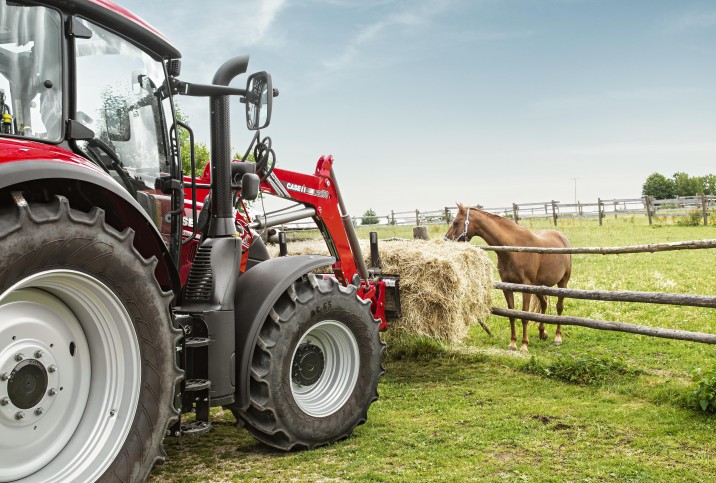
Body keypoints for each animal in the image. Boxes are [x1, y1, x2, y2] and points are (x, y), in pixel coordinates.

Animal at [448, 204, 572, 352]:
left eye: (456, 222)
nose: (446, 239)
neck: (514, 249)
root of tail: (561, 237)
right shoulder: (507, 287)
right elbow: (512, 314)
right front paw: (513, 343)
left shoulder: (526, 288)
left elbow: (525, 316)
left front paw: (524, 345)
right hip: (538, 287)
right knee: (544, 304)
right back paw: (542, 333)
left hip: (562, 283)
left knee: (559, 307)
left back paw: (557, 337)